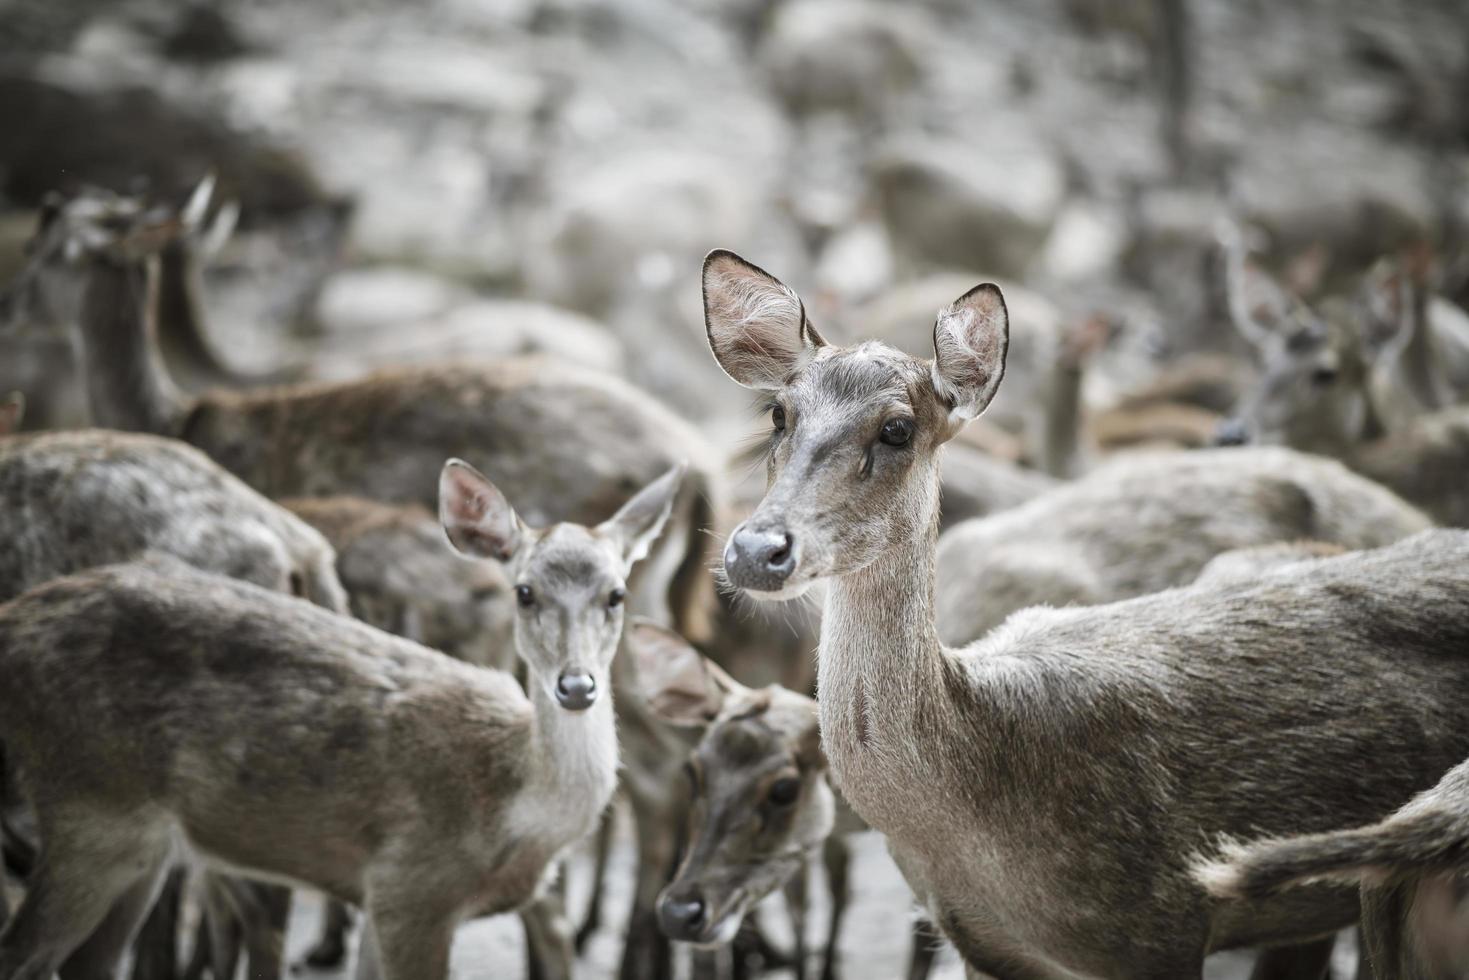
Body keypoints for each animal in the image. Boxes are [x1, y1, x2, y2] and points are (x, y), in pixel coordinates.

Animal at [0, 461, 678, 980]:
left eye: (617, 594)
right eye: (526, 592)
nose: (577, 686)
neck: (507, 807)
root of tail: (16, 620)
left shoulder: (380, 900)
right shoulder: (411, 886)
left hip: (137, 842)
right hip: (89, 804)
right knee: (23, 953)